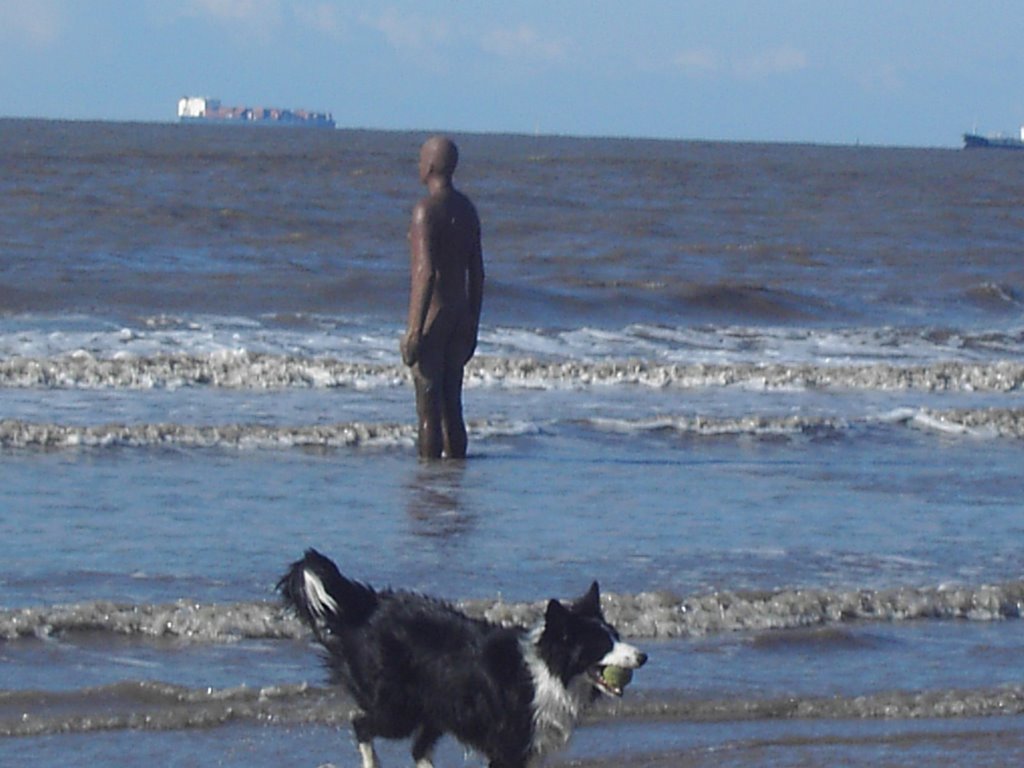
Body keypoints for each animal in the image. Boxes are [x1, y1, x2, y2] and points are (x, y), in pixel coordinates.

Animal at [278, 548, 647, 765]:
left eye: (616, 636)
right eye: (600, 644)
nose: (643, 656)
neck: (550, 671)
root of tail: (367, 606)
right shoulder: (510, 746)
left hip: (434, 707)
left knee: (418, 748)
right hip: (400, 708)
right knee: (362, 725)